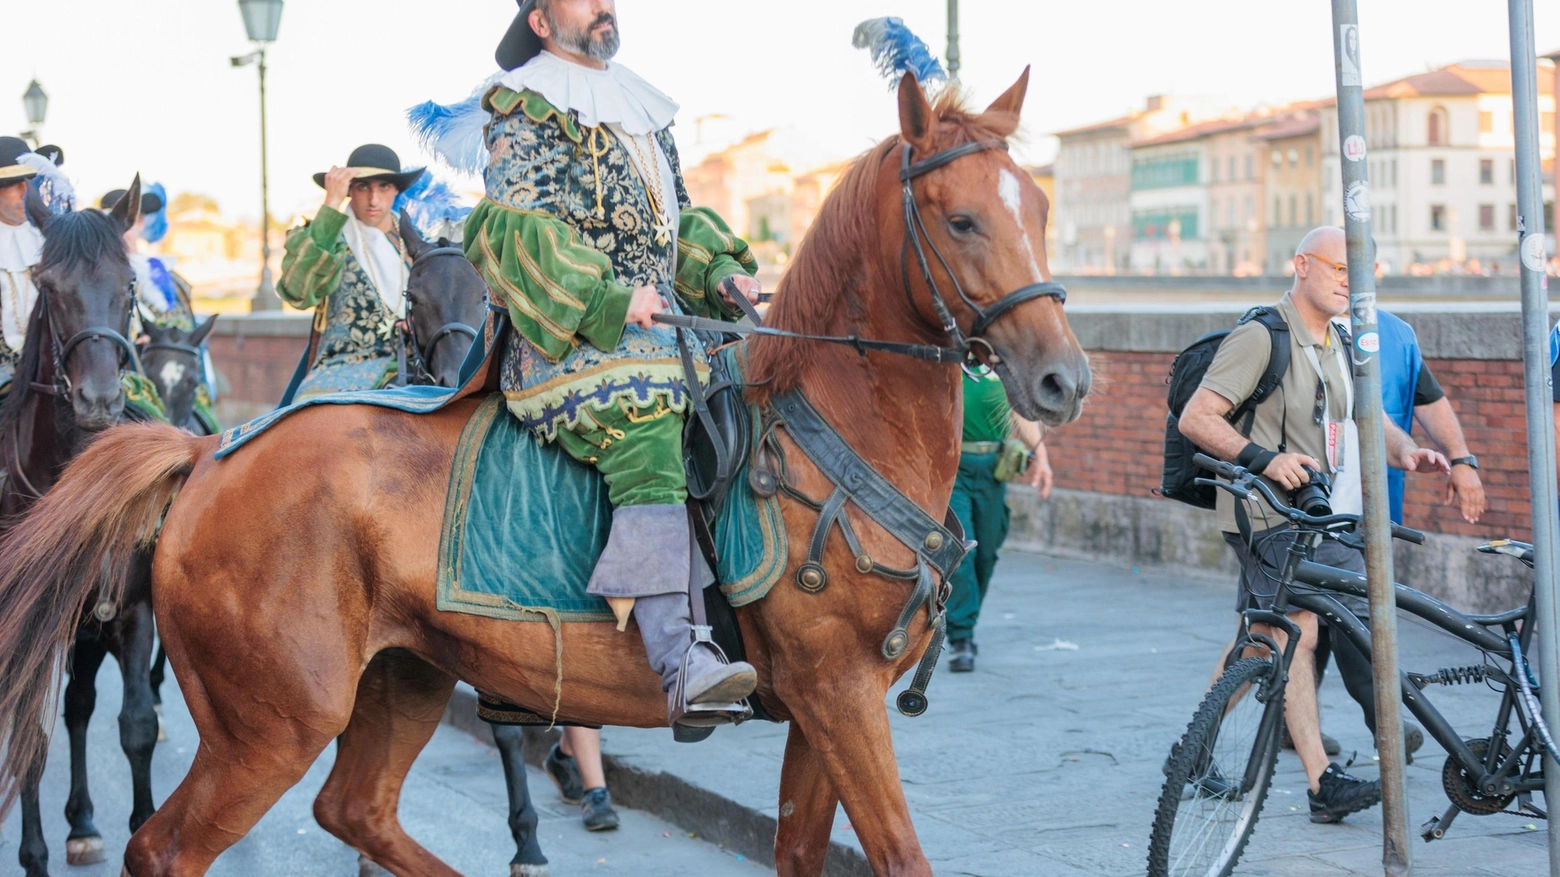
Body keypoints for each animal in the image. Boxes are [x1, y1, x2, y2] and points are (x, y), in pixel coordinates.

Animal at [0, 74, 1085, 873]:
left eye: (1036, 204)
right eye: (958, 221)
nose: (1062, 377)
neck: (831, 424)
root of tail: (208, 456)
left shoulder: (819, 712)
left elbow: (800, 853)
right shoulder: (840, 695)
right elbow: (900, 854)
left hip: (402, 675)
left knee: (356, 810)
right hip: (270, 721)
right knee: (167, 845)